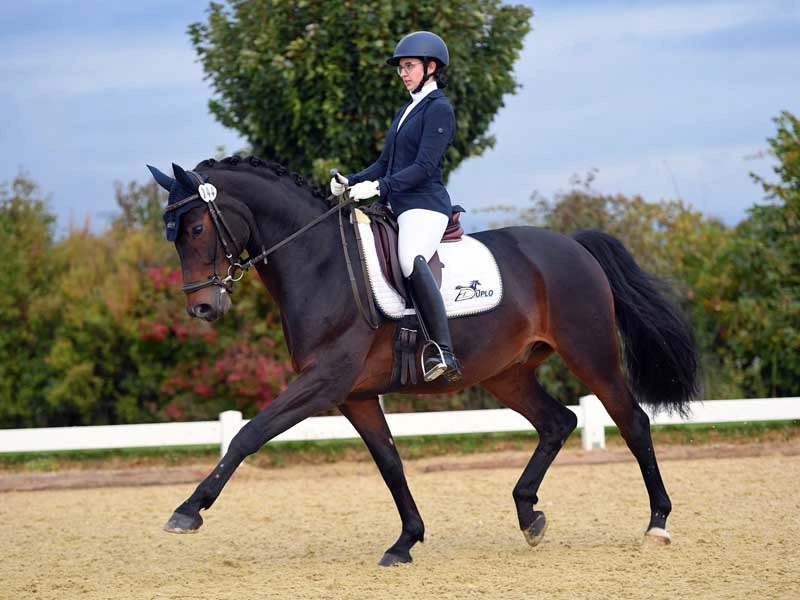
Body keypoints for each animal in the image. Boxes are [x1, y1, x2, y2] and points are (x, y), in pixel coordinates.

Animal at [147, 155, 698, 566]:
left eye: (194, 229)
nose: (202, 308)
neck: (320, 262)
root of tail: (573, 245)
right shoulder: (355, 395)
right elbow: (390, 462)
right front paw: (406, 541)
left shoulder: (323, 382)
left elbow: (249, 433)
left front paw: (188, 510)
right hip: (505, 373)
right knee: (557, 422)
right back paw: (529, 516)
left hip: (591, 354)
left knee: (632, 421)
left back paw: (657, 524)